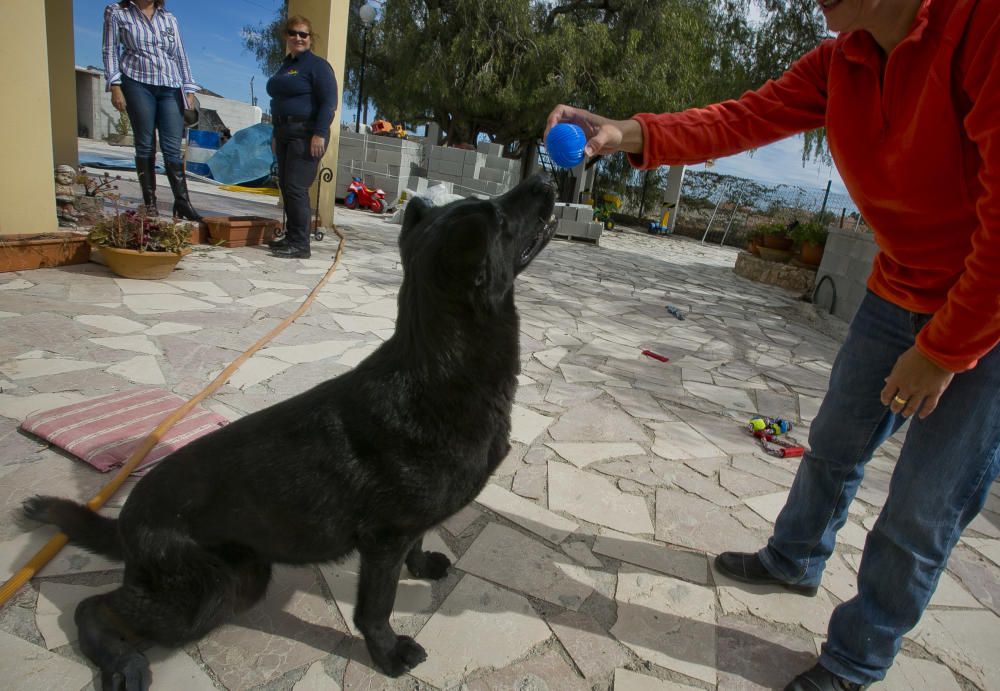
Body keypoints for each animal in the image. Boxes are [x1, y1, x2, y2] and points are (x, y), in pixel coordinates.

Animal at [23, 174, 560, 691]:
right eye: (499, 217)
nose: (547, 180)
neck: (440, 367)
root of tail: (126, 522)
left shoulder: (407, 530)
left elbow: (419, 543)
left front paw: (423, 566)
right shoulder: (383, 542)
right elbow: (376, 608)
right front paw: (387, 653)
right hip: (216, 591)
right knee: (91, 608)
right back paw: (121, 662)